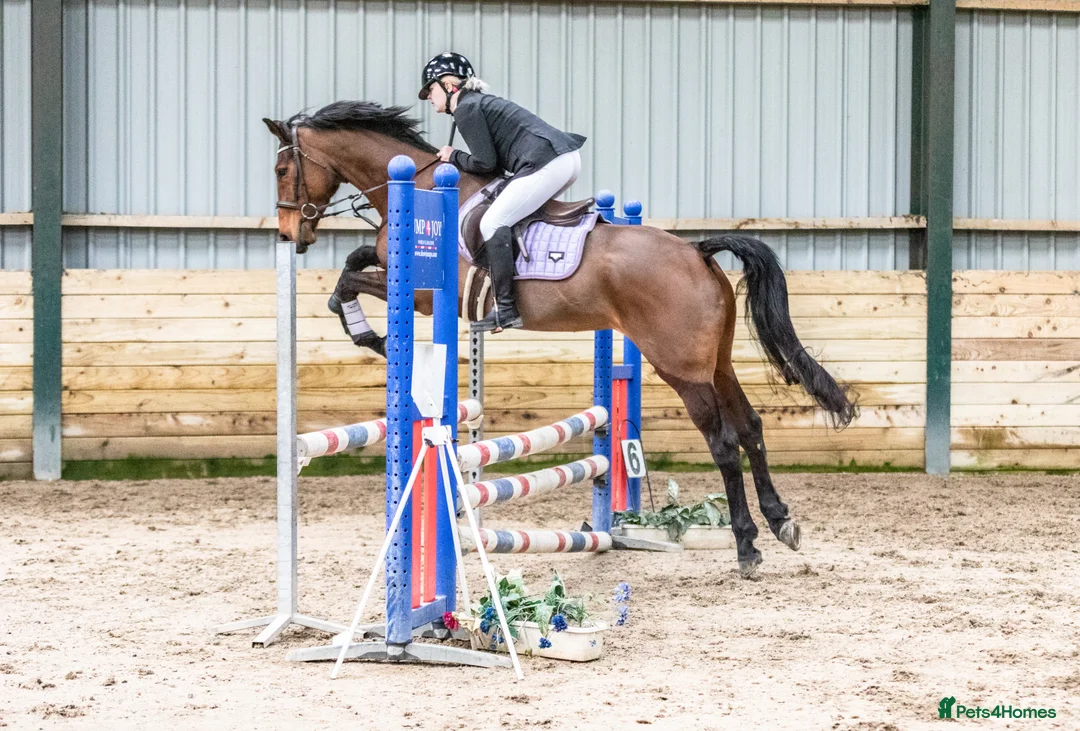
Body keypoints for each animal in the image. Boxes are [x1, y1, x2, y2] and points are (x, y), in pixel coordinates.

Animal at [264, 101, 857, 578]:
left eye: (281, 169)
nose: (292, 235)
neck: (423, 189)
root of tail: (696, 252)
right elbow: (355, 260)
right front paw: (368, 330)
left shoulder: (428, 298)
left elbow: (348, 281)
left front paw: (372, 336)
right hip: (716, 363)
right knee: (751, 427)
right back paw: (780, 523)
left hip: (681, 369)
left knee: (724, 443)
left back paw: (747, 548)